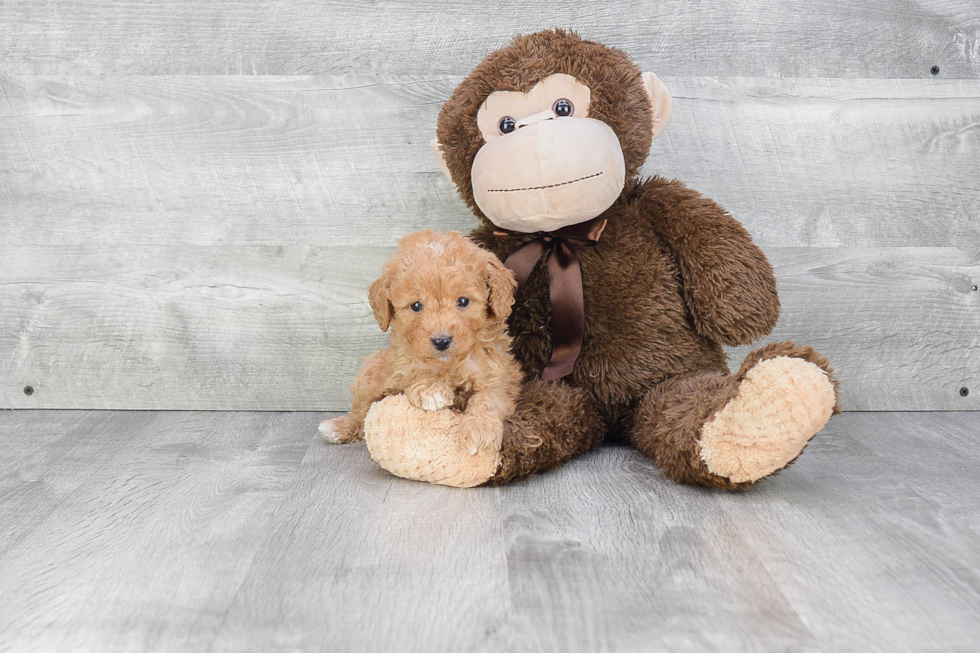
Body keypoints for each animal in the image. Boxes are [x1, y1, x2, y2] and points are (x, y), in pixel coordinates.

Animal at [320, 229, 520, 454]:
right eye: (416, 305)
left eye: (463, 301)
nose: (441, 341)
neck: (449, 365)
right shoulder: (400, 363)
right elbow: (413, 369)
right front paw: (431, 390)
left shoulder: (498, 376)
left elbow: (489, 397)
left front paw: (480, 431)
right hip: (371, 372)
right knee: (361, 411)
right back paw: (339, 427)